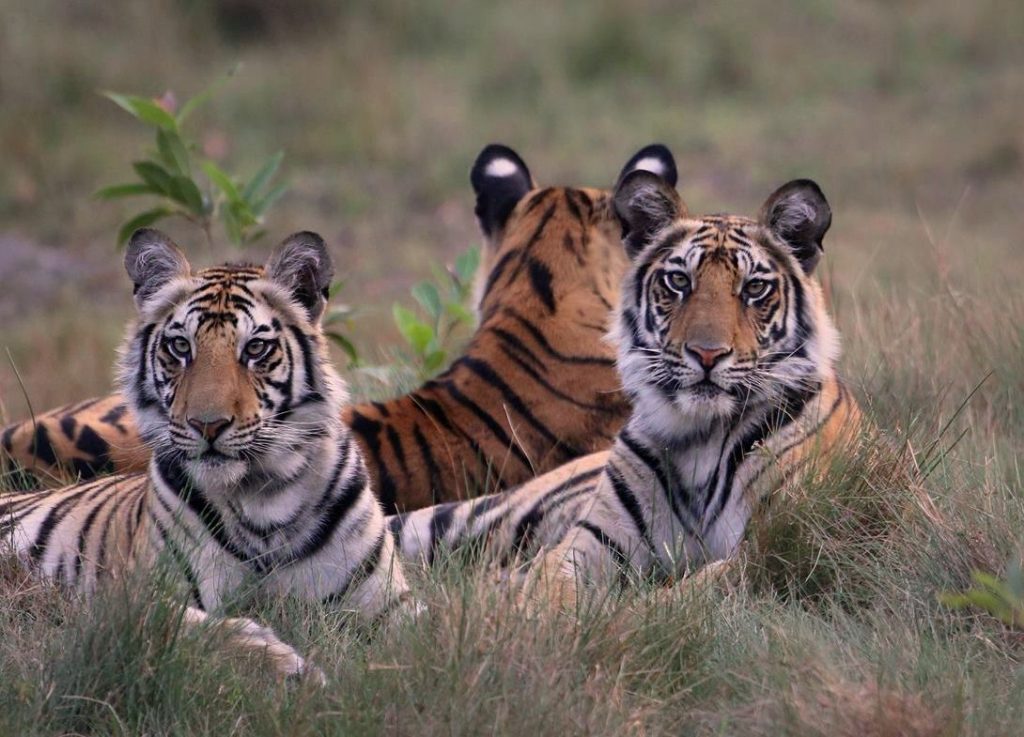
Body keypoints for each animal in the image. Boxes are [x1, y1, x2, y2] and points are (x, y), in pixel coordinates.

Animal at [3, 229, 415, 679]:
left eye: (255, 349)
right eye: (180, 346)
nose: (208, 425)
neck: (263, 496)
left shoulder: (388, 602)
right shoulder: (131, 600)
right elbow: (196, 630)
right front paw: (288, 668)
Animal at [387, 168, 860, 605]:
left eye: (754, 288)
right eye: (679, 282)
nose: (707, 354)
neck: (699, 437)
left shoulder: (767, 548)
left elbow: (682, 597)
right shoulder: (592, 539)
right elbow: (553, 588)